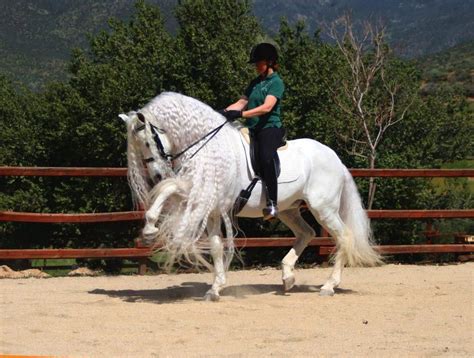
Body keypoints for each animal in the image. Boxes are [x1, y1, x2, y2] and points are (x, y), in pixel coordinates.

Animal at [121, 91, 382, 300]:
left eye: (148, 141)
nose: (156, 174)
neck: (209, 147)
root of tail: (335, 159)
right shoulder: (210, 205)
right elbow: (215, 246)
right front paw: (215, 289)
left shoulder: (202, 193)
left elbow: (168, 189)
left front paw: (150, 229)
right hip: (289, 209)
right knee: (306, 233)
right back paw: (287, 278)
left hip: (323, 209)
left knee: (344, 237)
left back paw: (329, 286)